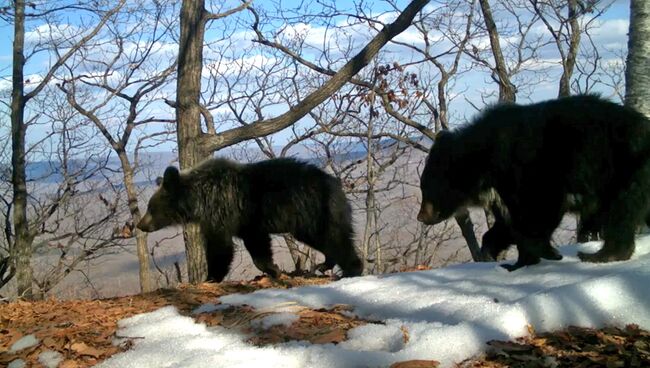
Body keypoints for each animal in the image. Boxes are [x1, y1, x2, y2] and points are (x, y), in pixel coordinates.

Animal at [137, 157, 362, 282]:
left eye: (151, 207)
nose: (140, 225)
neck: (198, 200)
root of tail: (336, 185)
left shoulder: (226, 211)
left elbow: (222, 248)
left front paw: (211, 277)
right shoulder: (246, 222)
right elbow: (257, 245)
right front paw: (273, 269)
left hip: (313, 211)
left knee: (334, 238)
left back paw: (352, 269)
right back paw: (325, 265)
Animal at [416, 95, 648, 272]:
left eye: (427, 189)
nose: (421, 217)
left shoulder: (529, 168)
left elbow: (538, 209)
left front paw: (546, 252)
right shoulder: (502, 193)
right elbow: (507, 224)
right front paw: (506, 259)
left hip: (622, 170)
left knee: (621, 211)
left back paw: (601, 254)